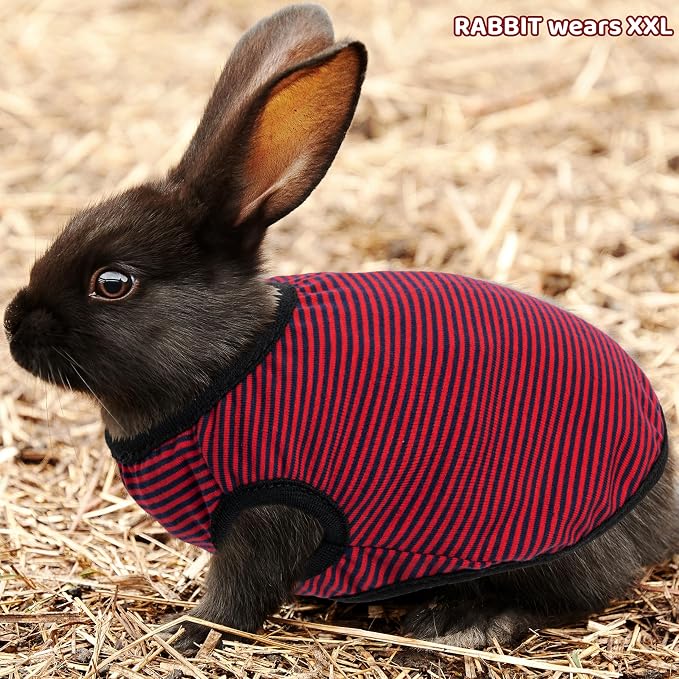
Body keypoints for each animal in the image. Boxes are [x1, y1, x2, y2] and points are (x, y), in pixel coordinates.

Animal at [4, 3, 677, 656]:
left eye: (112, 283)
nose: (13, 325)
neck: (224, 362)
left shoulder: (270, 511)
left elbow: (238, 594)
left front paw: (187, 633)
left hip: (538, 537)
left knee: (568, 597)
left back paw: (462, 626)